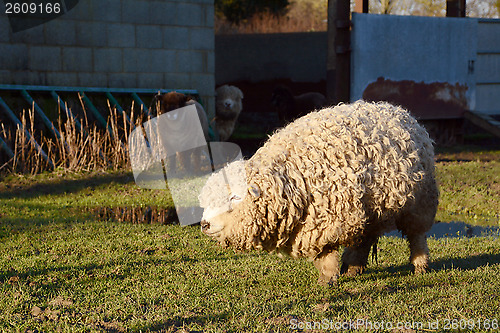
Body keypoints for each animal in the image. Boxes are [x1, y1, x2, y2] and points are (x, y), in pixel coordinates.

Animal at [198, 100, 438, 284]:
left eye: (235, 197)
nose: (204, 224)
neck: (291, 176)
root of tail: (398, 110)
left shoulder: (330, 219)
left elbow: (326, 251)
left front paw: (328, 279)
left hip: (420, 200)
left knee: (417, 234)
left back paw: (420, 264)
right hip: (372, 206)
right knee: (366, 237)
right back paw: (353, 266)